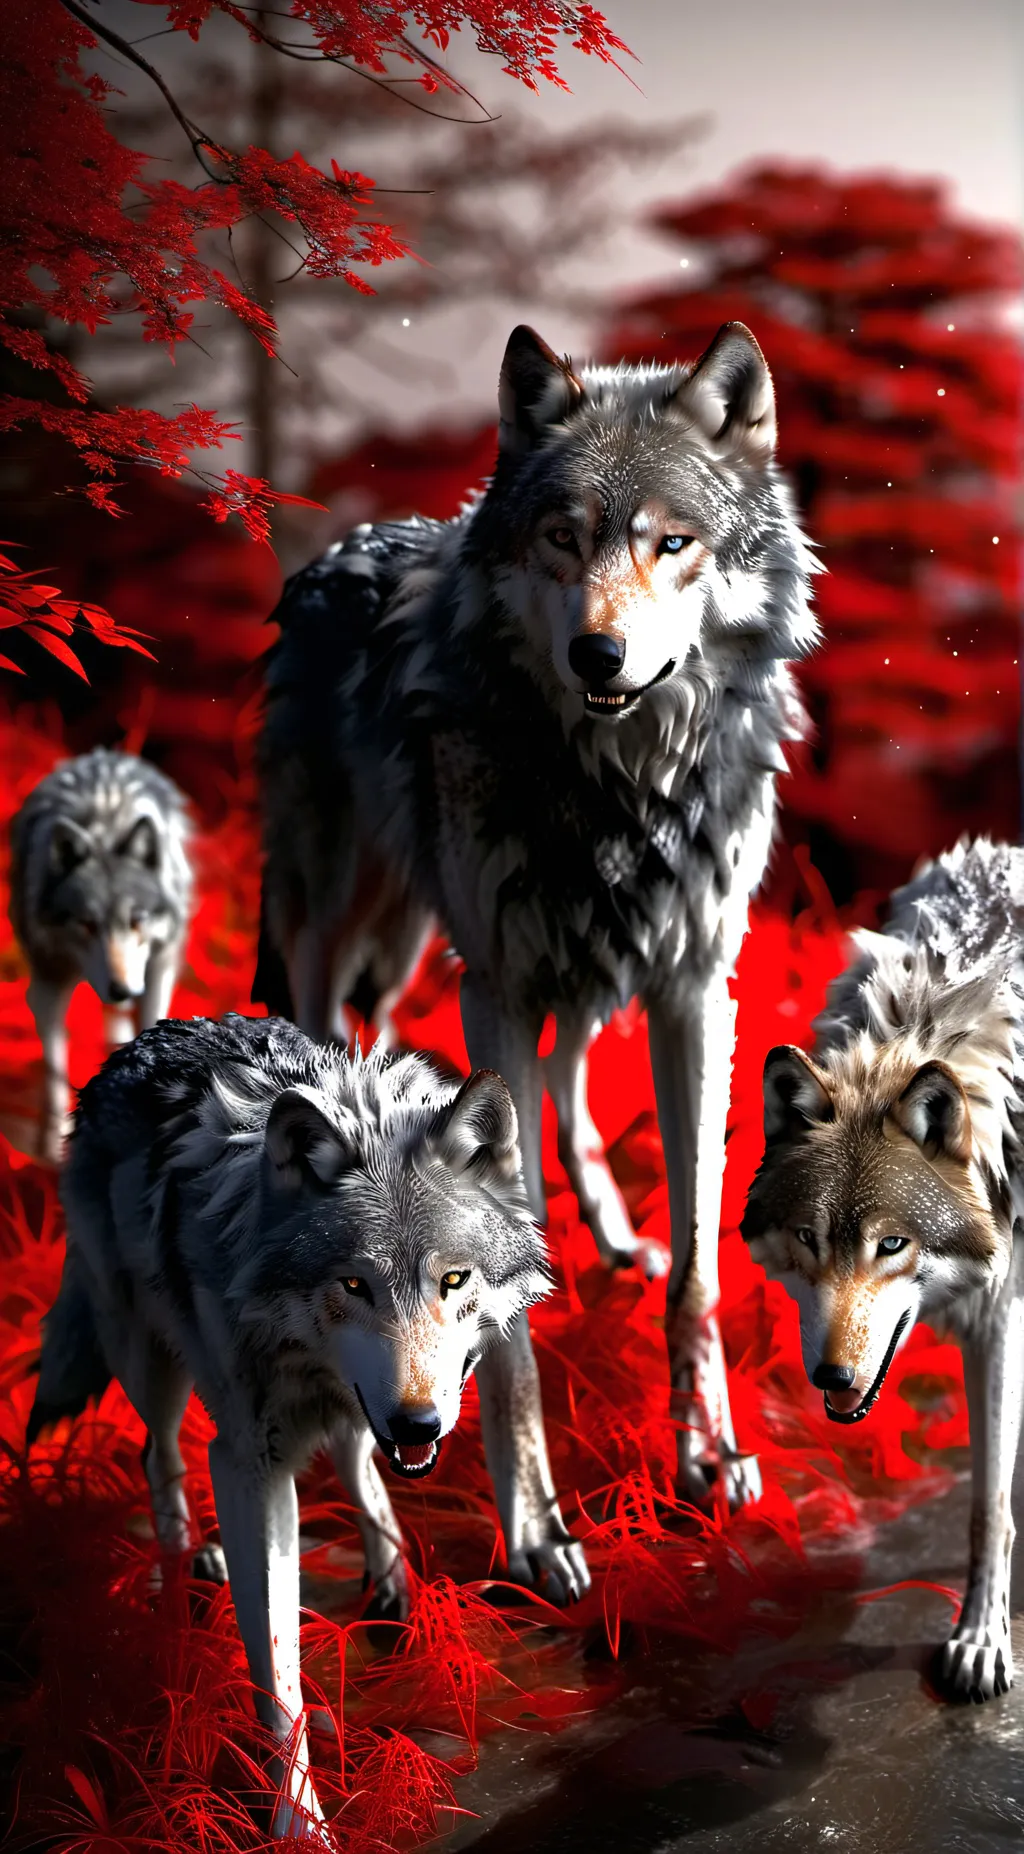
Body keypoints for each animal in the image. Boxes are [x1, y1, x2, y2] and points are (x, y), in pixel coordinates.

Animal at [10, 748, 193, 1164]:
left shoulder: (157, 973)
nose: (122, 989)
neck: (103, 826)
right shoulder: (47, 985)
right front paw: (53, 1145)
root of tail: (103, 754)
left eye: (137, 920)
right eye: (86, 924)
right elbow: (55, 1069)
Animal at [29, 1012, 582, 1838]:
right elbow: (277, 1666)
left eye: (454, 1280)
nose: (418, 1423)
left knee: (354, 1457)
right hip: (147, 1362)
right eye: (353, 1284)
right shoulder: (247, 1463)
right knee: (159, 1456)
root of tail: (149, 1035)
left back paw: (391, 1578)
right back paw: (186, 1571)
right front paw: (297, 1823)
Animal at [256, 320, 818, 1507]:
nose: (596, 655)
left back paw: (610, 1230)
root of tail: (344, 546)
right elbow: (500, 1291)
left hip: (577, 963)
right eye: (563, 537)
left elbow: (697, 1264)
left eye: (671, 542)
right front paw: (532, 1516)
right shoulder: (496, 989)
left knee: (567, 1080)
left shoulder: (694, 988)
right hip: (345, 925)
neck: (620, 787)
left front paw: (707, 1449)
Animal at [742, 838, 1024, 1702]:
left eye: (892, 1244)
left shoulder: (1004, 1318)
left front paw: (981, 1640)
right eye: (809, 1237)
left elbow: (989, 1503)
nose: (832, 1376)